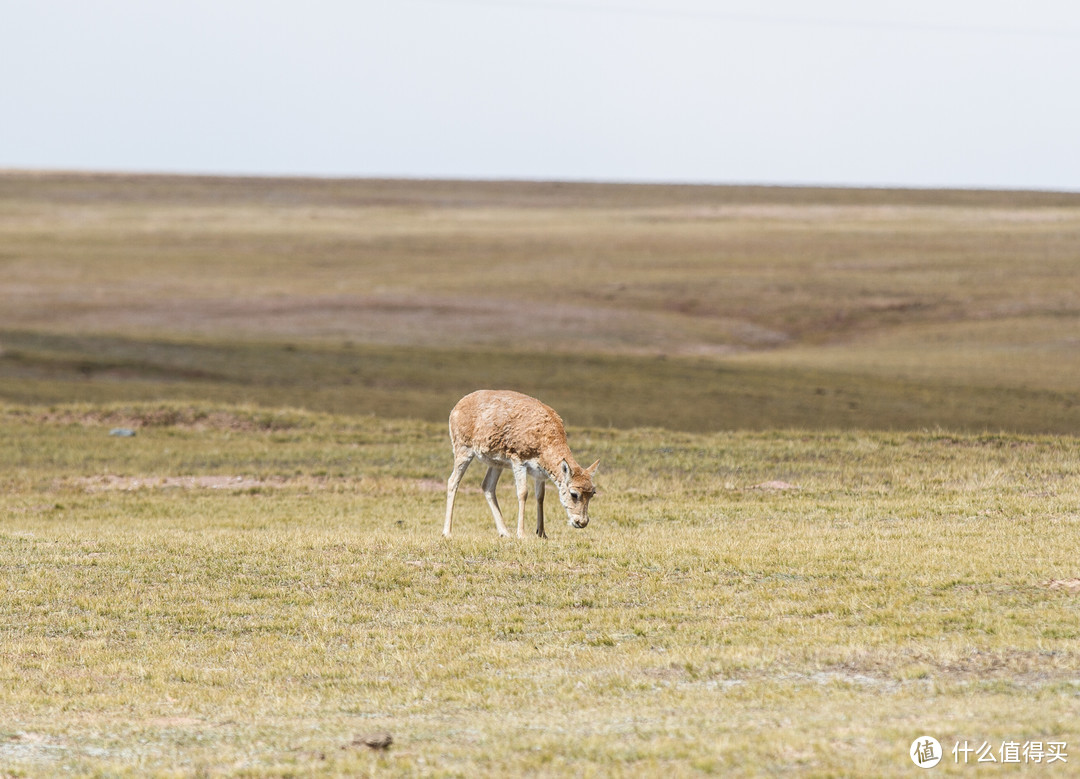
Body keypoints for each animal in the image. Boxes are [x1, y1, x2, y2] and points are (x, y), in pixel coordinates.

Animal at [444, 391, 600, 538]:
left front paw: (542, 533)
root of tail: (456, 407)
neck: (544, 439)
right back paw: (447, 532)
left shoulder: (540, 473)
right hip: (463, 450)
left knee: (487, 486)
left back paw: (504, 532)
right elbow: (523, 493)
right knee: (452, 481)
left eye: (592, 493)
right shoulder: (518, 461)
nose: (582, 522)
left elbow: (540, 496)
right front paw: (522, 534)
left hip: (496, 463)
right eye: (574, 494)